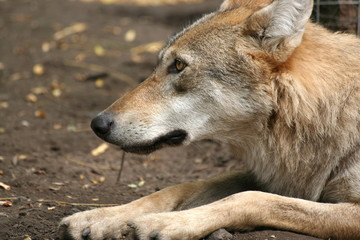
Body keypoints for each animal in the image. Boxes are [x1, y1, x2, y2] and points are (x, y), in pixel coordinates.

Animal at [59, 0, 360, 239]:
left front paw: (166, 224)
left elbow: (249, 199)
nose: (98, 124)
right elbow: (173, 190)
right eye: (159, 65)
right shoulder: (268, 177)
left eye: (179, 65)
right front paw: (98, 217)